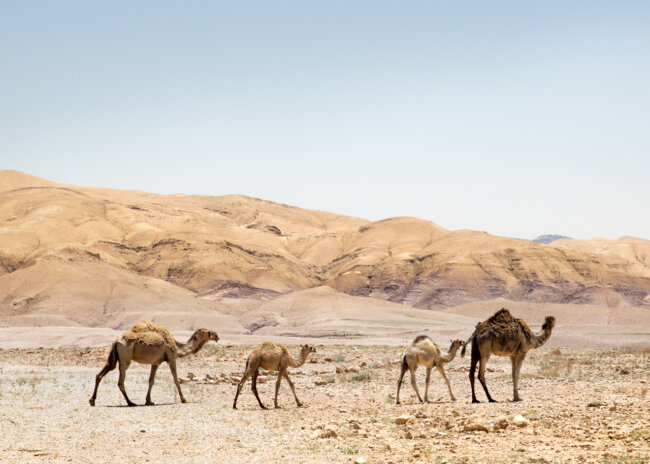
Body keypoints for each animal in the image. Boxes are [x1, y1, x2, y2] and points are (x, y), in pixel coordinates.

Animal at [89, 320, 219, 407]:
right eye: (207, 332)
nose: (217, 335)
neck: (177, 346)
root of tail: (117, 340)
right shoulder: (172, 359)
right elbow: (176, 380)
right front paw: (184, 399)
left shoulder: (156, 363)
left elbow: (151, 380)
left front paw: (149, 401)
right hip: (125, 357)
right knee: (120, 381)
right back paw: (131, 402)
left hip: (115, 357)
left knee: (101, 373)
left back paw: (92, 401)